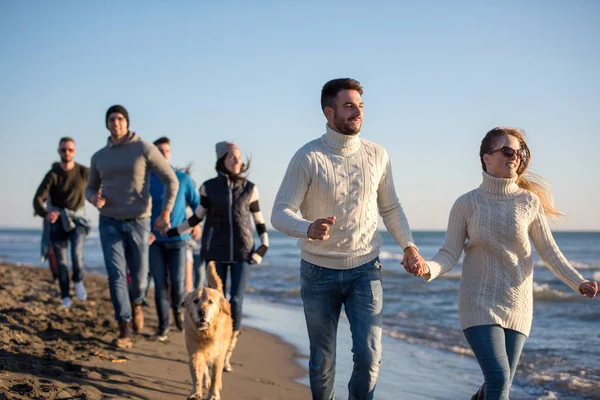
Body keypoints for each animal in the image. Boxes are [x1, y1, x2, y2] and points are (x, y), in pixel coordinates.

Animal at [185, 260, 234, 398]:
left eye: (210, 302)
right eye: (195, 301)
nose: (201, 312)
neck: (207, 334)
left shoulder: (218, 355)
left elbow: (215, 377)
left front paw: (213, 395)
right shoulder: (195, 352)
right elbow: (197, 373)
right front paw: (196, 393)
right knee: (205, 369)